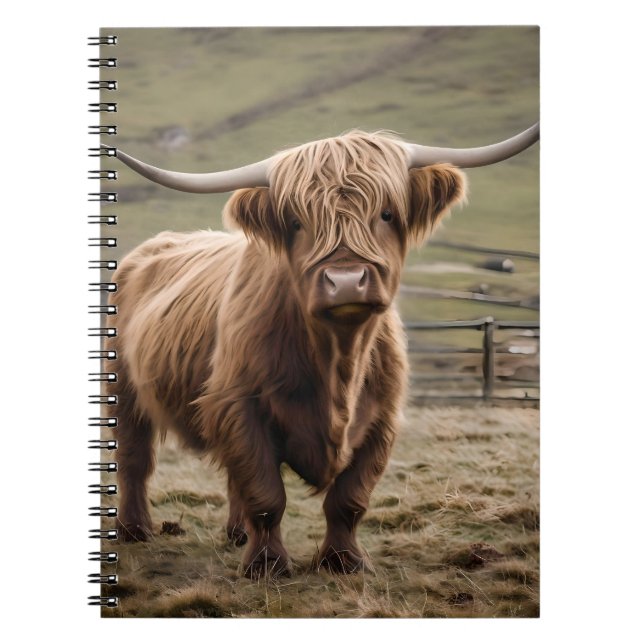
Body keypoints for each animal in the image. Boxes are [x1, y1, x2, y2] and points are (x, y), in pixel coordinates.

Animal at [105, 124, 539, 578]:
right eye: (297, 222)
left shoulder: (382, 420)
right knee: (135, 459)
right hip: (124, 391)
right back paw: (135, 530)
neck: (338, 364)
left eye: (387, 214)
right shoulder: (240, 407)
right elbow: (266, 494)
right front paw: (267, 566)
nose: (346, 281)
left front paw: (342, 561)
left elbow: (349, 499)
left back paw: (236, 534)